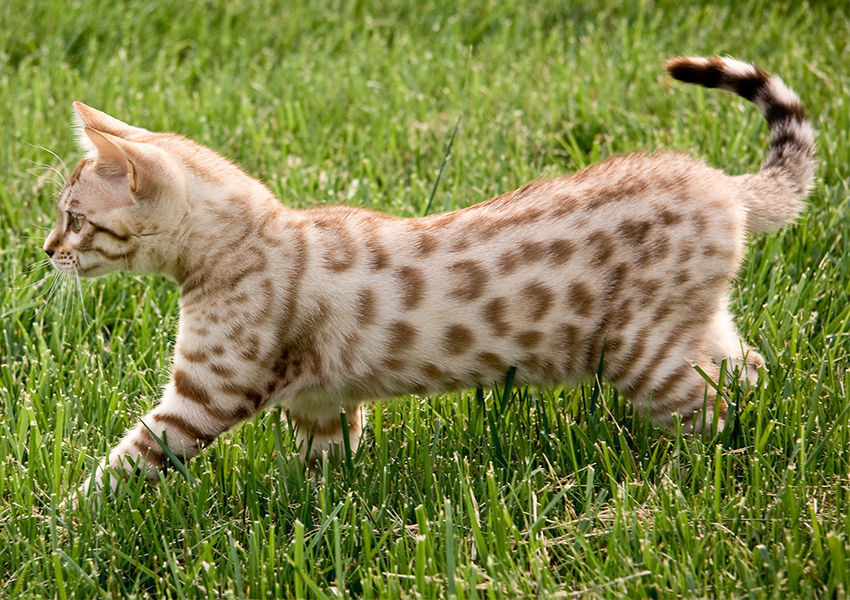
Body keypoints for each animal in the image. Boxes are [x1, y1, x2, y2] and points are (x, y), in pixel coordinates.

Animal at [43, 56, 812, 496]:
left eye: (75, 218)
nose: (46, 250)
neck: (251, 237)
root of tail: (721, 184)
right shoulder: (323, 405)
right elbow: (322, 479)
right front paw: (316, 521)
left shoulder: (205, 395)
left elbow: (121, 464)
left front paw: (60, 524)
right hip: (690, 331)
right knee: (750, 372)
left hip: (640, 354)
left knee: (711, 418)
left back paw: (690, 483)